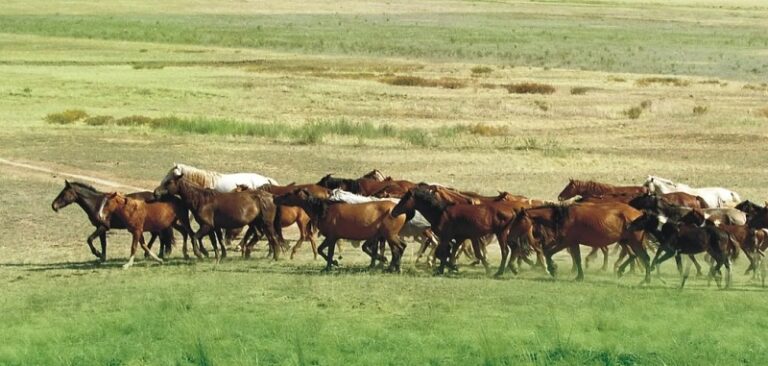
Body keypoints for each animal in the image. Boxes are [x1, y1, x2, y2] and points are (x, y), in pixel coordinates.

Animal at [152, 174, 280, 260]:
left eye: (169, 182)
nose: (155, 193)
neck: (201, 200)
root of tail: (271, 197)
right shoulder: (213, 227)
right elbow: (216, 241)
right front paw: (220, 256)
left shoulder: (207, 226)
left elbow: (195, 237)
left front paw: (200, 254)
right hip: (255, 223)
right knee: (259, 235)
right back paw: (248, 254)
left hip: (266, 223)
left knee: (273, 238)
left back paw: (275, 257)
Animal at [274, 189, 408, 272]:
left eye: (289, 193)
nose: (276, 198)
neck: (324, 210)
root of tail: (399, 210)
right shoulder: (333, 237)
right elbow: (322, 250)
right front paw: (333, 263)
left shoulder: (332, 237)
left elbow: (328, 252)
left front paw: (329, 266)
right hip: (389, 235)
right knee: (400, 247)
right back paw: (395, 267)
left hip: (390, 235)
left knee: (399, 248)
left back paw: (393, 267)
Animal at [508, 202, 652, 282]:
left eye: (518, 221)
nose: (510, 236)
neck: (563, 217)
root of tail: (639, 213)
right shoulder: (573, 243)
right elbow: (577, 259)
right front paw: (579, 276)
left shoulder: (566, 241)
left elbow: (548, 253)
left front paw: (553, 269)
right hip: (625, 241)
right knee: (633, 255)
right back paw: (621, 271)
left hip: (635, 242)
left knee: (645, 257)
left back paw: (646, 280)